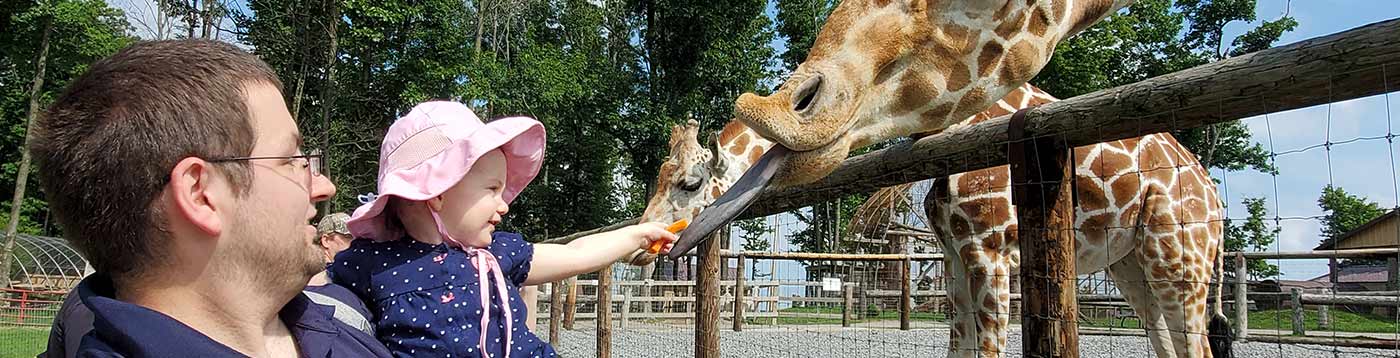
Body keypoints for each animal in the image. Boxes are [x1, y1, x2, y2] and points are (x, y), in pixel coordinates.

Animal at [641, 82, 1232, 356]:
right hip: (1132, 265)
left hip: (1179, 259)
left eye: (689, 183)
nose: (653, 247)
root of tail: (1214, 196)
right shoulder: (953, 258)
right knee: (1168, 342)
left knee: (1197, 344)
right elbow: (960, 348)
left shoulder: (992, 253)